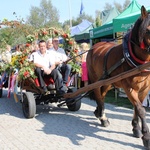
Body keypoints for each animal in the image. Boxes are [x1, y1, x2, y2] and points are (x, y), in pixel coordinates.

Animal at [86, 5, 150, 149]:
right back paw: (103, 118)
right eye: (148, 30)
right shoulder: (129, 89)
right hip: (96, 80)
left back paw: (99, 113)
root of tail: (95, 47)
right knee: (98, 95)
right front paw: (146, 137)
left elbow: (137, 108)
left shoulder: (144, 89)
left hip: (107, 82)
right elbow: (141, 110)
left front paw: (136, 128)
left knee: (102, 97)